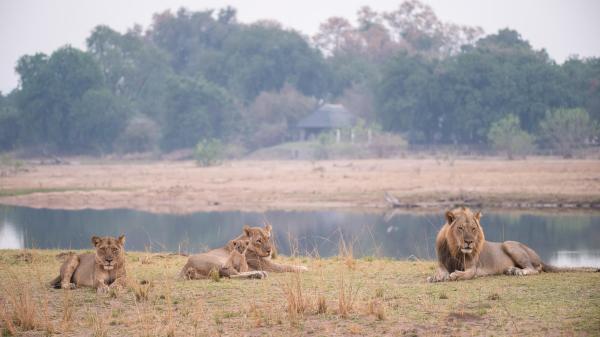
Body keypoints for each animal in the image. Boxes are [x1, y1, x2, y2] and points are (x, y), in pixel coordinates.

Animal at [180, 223, 308, 278]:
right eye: (258, 240)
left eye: (268, 238)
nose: (269, 250)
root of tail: (187, 267)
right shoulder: (267, 265)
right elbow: (286, 266)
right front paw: (303, 268)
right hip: (220, 261)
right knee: (232, 274)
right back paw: (259, 274)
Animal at [426, 207, 596, 280]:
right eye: (460, 228)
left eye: (473, 228)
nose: (469, 242)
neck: (455, 250)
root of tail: (540, 258)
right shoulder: (442, 263)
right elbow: (440, 271)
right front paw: (435, 277)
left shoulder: (473, 268)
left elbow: (466, 274)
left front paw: (455, 274)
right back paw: (511, 270)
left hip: (509, 244)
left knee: (534, 269)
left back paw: (519, 272)